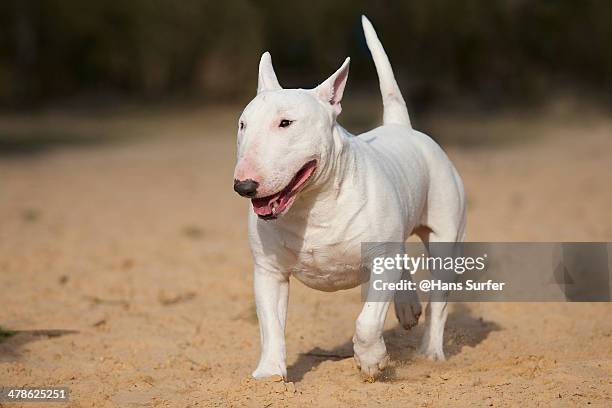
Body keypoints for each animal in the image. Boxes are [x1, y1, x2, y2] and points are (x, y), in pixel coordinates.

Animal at [232, 15, 466, 380]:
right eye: (243, 125)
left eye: (286, 123)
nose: (244, 186)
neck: (312, 206)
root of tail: (401, 127)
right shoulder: (268, 270)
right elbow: (270, 325)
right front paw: (269, 375)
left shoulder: (380, 260)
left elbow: (367, 322)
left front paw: (372, 360)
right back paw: (407, 306)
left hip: (444, 237)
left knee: (437, 300)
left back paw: (430, 352)